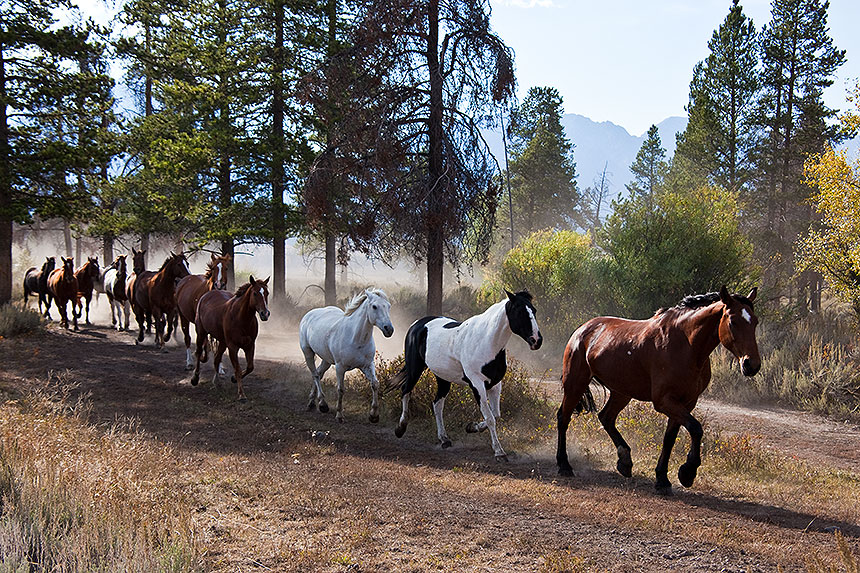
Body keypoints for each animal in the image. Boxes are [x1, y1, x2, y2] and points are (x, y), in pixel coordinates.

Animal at [298, 288, 396, 422]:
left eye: (389, 306)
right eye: (374, 306)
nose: (389, 329)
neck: (356, 338)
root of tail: (308, 315)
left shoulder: (367, 365)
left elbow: (375, 384)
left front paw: (374, 415)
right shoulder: (340, 367)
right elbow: (341, 389)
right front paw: (339, 415)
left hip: (326, 360)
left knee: (318, 373)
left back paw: (312, 403)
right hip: (308, 353)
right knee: (315, 375)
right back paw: (322, 404)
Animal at [392, 290, 540, 460]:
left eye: (534, 310)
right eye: (520, 312)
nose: (536, 340)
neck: (486, 341)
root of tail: (416, 324)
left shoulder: (495, 384)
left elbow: (495, 415)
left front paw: (472, 427)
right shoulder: (477, 384)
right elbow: (490, 418)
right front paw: (499, 452)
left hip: (443, 378)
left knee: (437, 404)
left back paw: (444, 439)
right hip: (415, 369)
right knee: (405, 390)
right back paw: (400, 428)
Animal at [556, 288, 760, 494]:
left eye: (755, 322)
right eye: (733, 321)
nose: (751, 365)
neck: (686, 345)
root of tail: (583, 329)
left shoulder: (686, 402)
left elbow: (670, 439)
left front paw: (662, 478)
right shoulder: (664, 401)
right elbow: (696, 428)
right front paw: (688, 472)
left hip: (622, 392)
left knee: (606, 417)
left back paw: (625, 461)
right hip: (575, 383)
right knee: (563, 418)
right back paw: (564, 465)